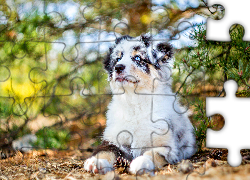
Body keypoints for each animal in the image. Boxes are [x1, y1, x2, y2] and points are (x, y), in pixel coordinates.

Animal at [83, 34, 196, 174]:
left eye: (137, 58)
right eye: (118, 59)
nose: (118, 67)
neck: (135, 103)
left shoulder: (166, 146)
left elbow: (152, 154)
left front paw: (141, 163)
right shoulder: (113, 139)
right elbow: (105, 151)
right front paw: (96, 162)